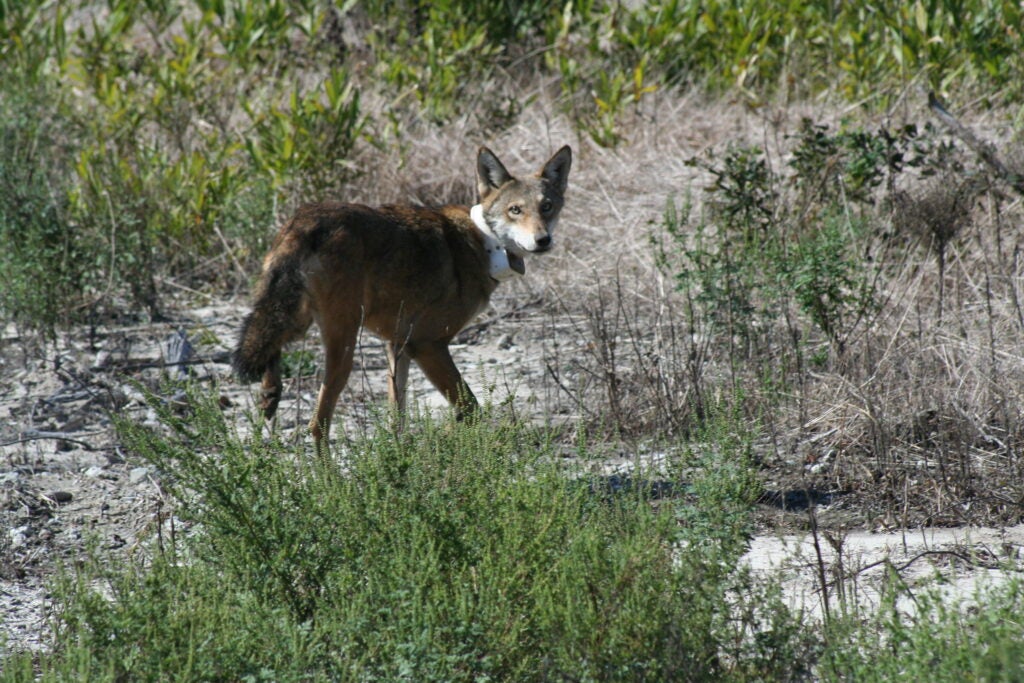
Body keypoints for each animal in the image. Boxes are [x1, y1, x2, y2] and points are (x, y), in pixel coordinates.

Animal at [232, 147, 573, 450]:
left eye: (547, 207)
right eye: (515, 210)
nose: (543, 240)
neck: (484, 243)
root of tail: (303, 219)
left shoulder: (396, 345)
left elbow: (398, 419)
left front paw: (399, 457)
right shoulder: (427, 344)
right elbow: (470, 408)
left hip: (297, 322)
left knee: (271, 355)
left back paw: (270, 396)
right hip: (342, 349)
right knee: (317, 425)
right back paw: (326, 479)